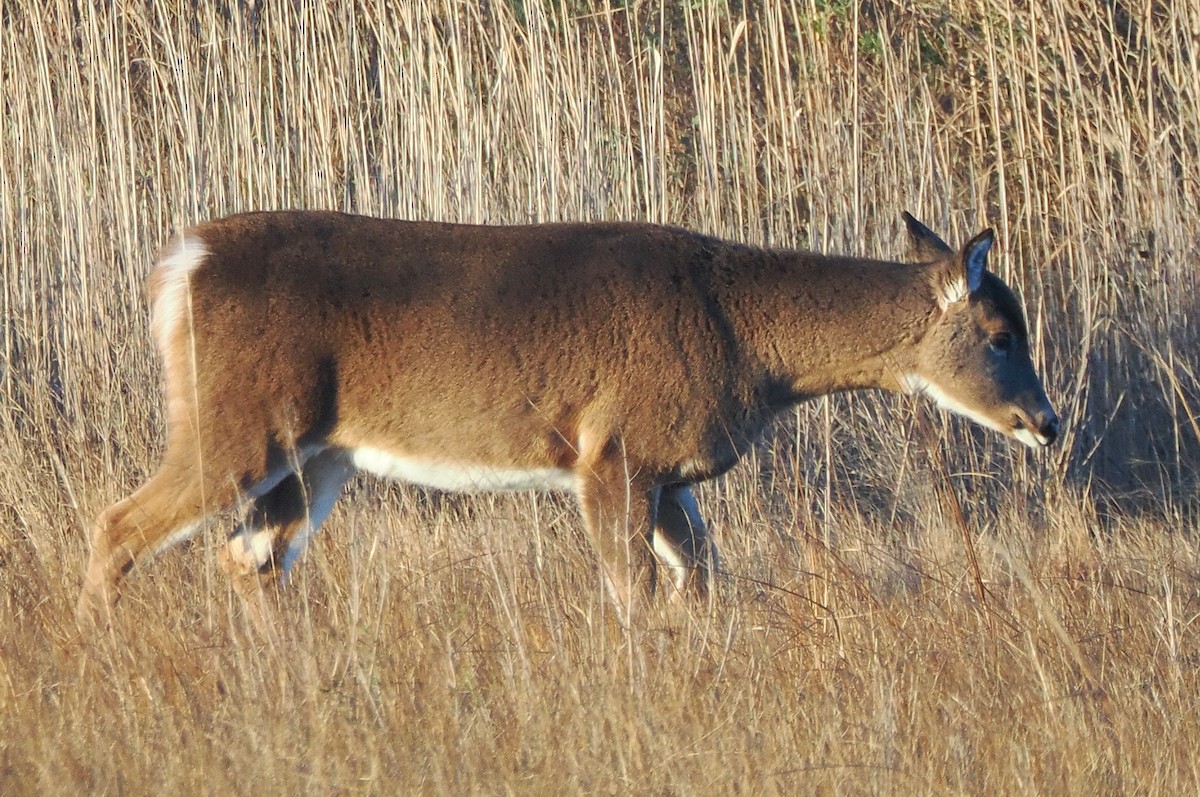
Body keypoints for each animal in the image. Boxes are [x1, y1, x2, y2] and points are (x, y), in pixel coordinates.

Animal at [75, 211, 1059, 631]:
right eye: (1002, 335)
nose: (1047, 423)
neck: (747, 342)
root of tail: (178, 264)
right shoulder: (613, 450)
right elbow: (631, 592)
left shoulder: (669, 472)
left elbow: (701, 580)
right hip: (236, 425)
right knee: (116, 525)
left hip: (315, 455)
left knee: (249, 556)